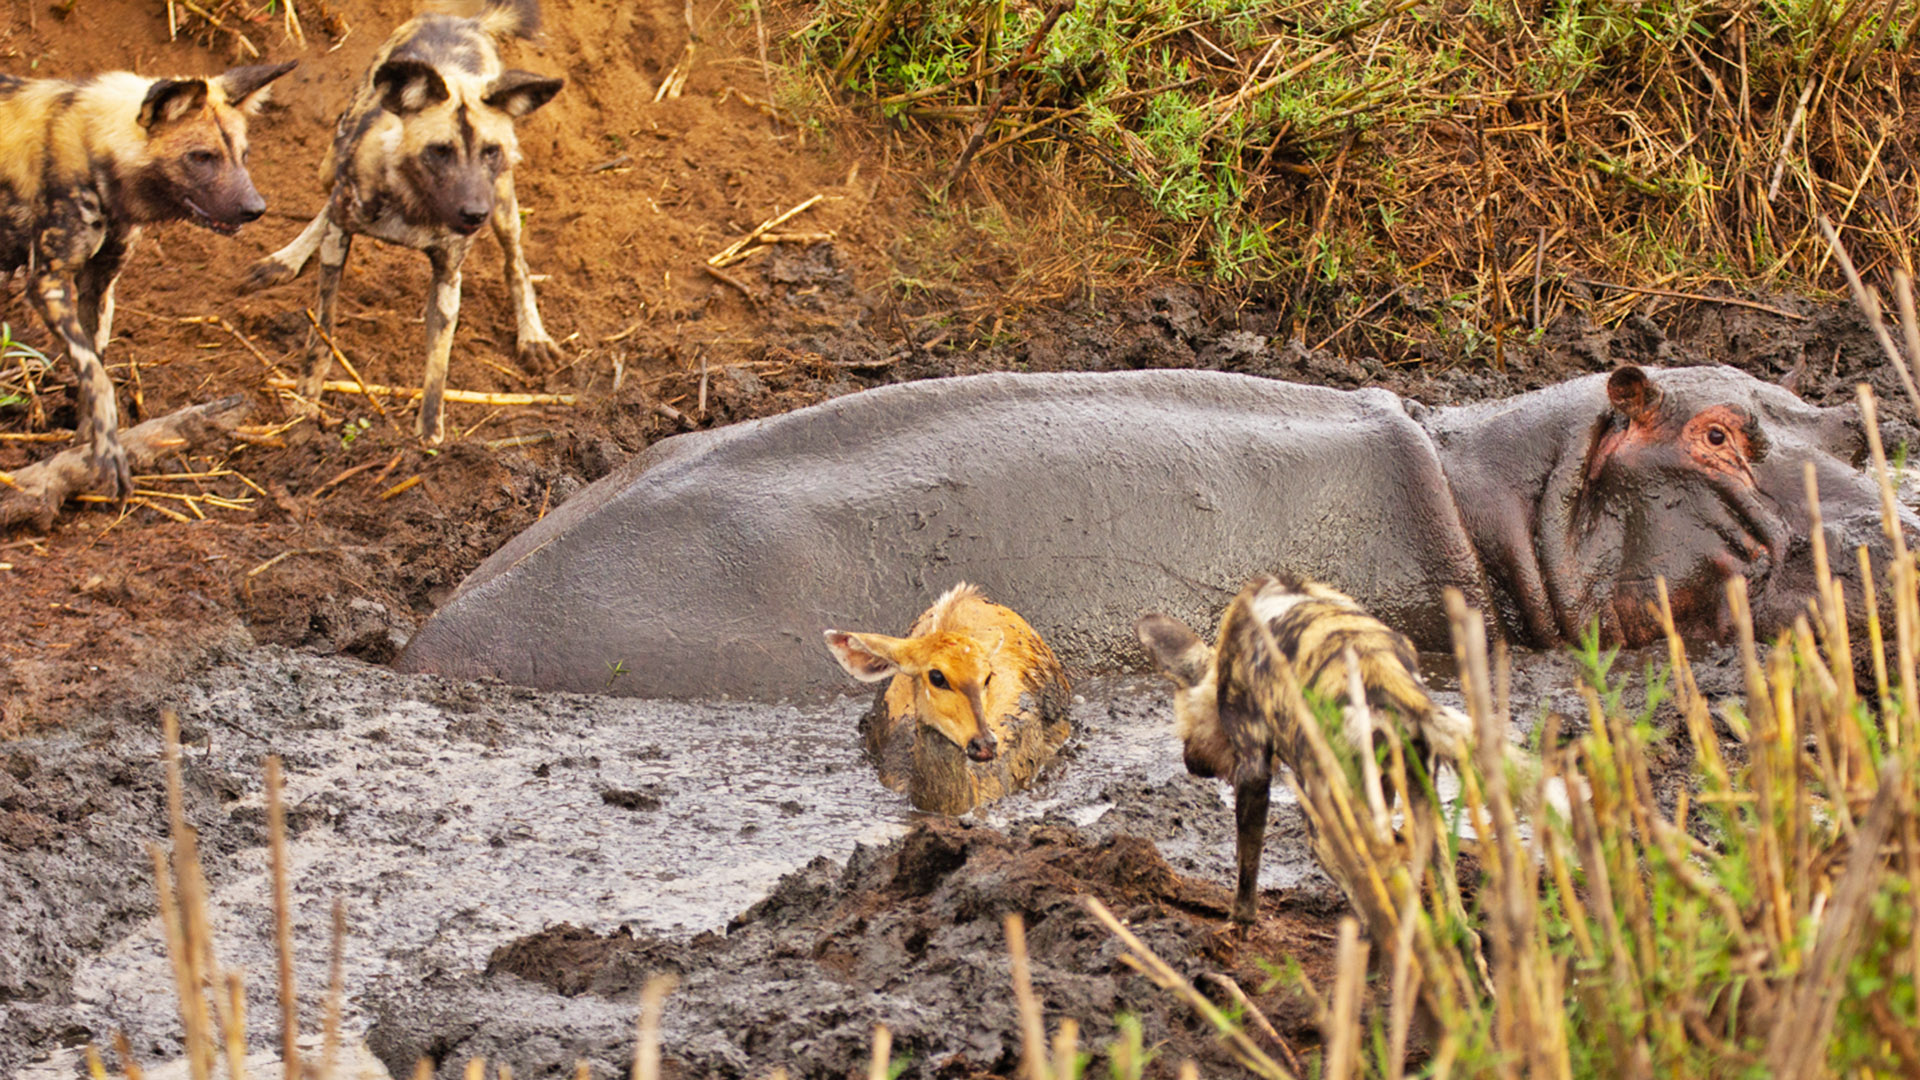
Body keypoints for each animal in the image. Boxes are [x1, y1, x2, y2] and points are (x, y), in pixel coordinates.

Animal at [0, 59, 295, 495]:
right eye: (201, 156)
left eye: (243, 155)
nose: (255, 208)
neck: (93, 147)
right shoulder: (48, 283)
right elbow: (97, 377)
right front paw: (107, 454)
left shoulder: (99, 284)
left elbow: (96, 366)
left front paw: (85, 445)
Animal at [245, 0, 560, 441]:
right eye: (440, 151)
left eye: (490, 151)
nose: (473, 214)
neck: (413, 203)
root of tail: (464, 21)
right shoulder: (338, 240)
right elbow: (321, 335)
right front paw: (306, 402)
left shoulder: (449, 274)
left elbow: (439, 362)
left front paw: (429, 436)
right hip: (331, 162)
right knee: (326, 202)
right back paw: (285, 259)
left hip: (502, 202)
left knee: (517, 263)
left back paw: (533, 335)